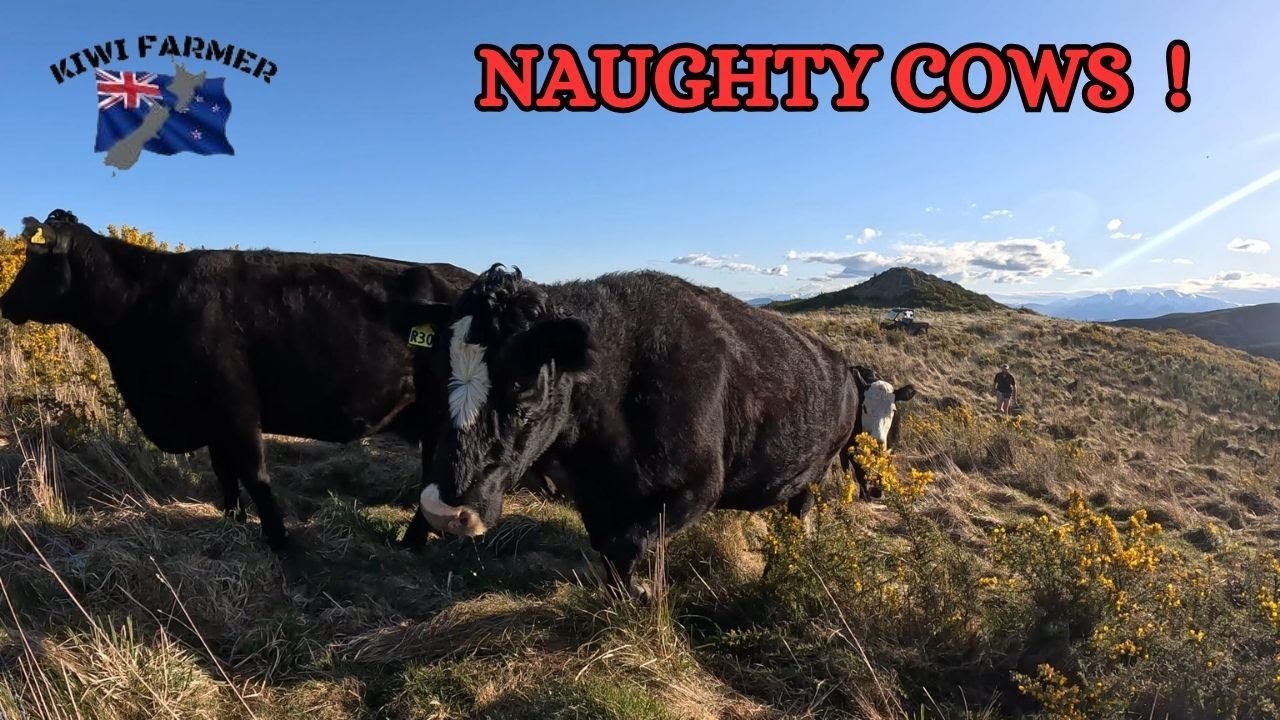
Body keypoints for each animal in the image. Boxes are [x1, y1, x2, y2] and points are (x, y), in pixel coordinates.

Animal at [0, 209, 475, 550]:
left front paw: (281, 542)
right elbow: (224, 472)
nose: (6, 301)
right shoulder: (211, 417)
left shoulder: (236, 407)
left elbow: (254, 473)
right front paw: (233, 522)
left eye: (36, 262)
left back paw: (411, 543)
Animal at [394, 264, 917, 591]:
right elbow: (609, 549)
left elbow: (625, 547)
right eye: (435, 368)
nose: (442, 509)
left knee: (800, 515)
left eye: (523, 382)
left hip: (815, 471)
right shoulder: (594, 495)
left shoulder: (697, 489)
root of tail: (842, 364)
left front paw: (645, 595)